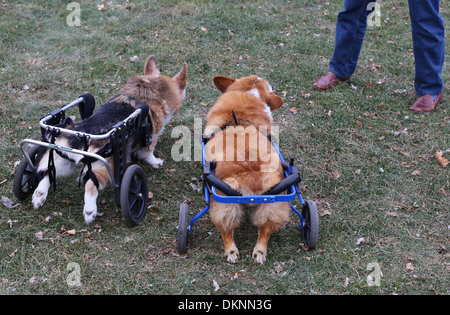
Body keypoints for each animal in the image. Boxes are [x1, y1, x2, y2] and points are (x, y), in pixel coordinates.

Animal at [31, 55, 186, 226]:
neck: (148, 88)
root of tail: (81, 136)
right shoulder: (150, 141)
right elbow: (148, 154)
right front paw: (156, 162)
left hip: (62, 160)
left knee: (47, 171)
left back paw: (39, 195)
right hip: (106, 169)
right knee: (90, 184)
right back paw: (90, 211)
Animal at [203, 75, 288, 266]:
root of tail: (251, 177)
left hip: (223, 204)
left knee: (226, 230)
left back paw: (231, 251)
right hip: (273, 203)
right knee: (265, 229)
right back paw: (259, 252)